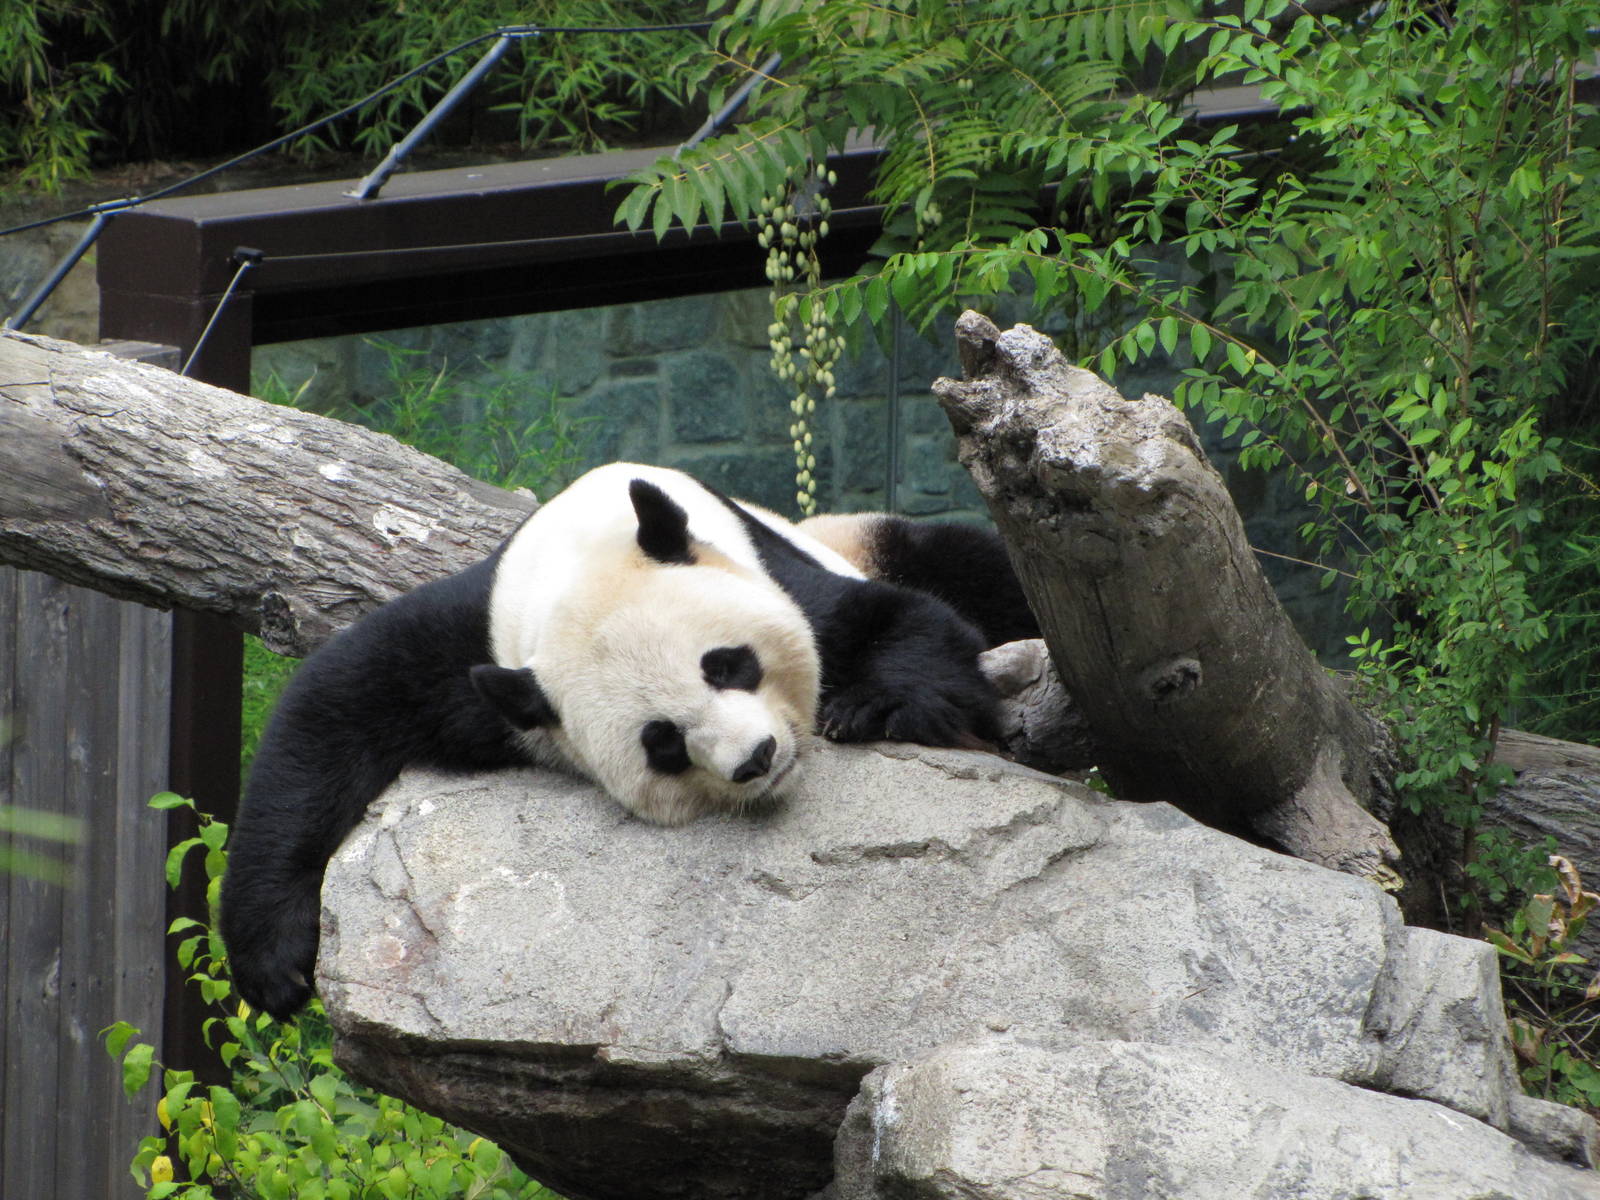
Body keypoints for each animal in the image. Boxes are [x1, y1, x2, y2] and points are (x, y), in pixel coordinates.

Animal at [221, 462, 1032, 1018]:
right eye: (662, 743)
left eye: (727, 664)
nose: (757, 759)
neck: (585, 553)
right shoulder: (475, 649)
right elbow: (329, 708)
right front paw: (274, 962)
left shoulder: (770, 570)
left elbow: (903, 621)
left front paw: (876, 706)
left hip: (864, 535)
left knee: (970, 560)